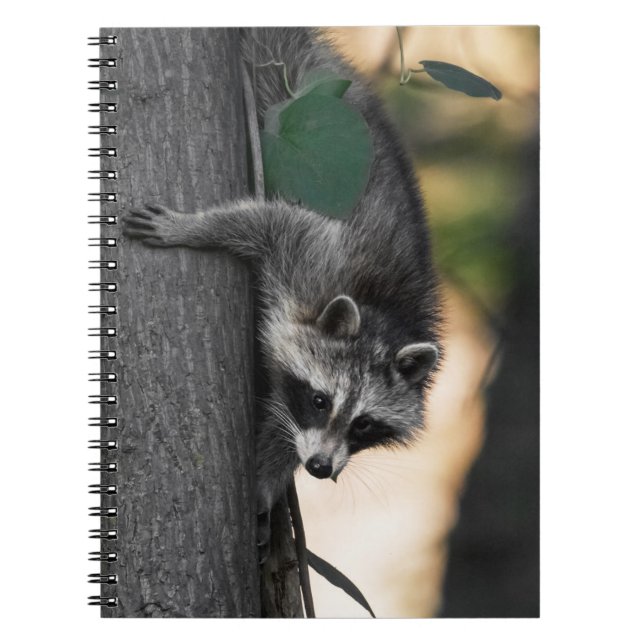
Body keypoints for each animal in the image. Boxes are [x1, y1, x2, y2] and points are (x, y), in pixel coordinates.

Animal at [123, 28, 442, 550]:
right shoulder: (314, 258)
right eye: (320, 401)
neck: (382, 314)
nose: (319, 468)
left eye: (364, 424)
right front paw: (194, 227)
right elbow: (263, 222)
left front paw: (269, 475)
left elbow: (283, 426)